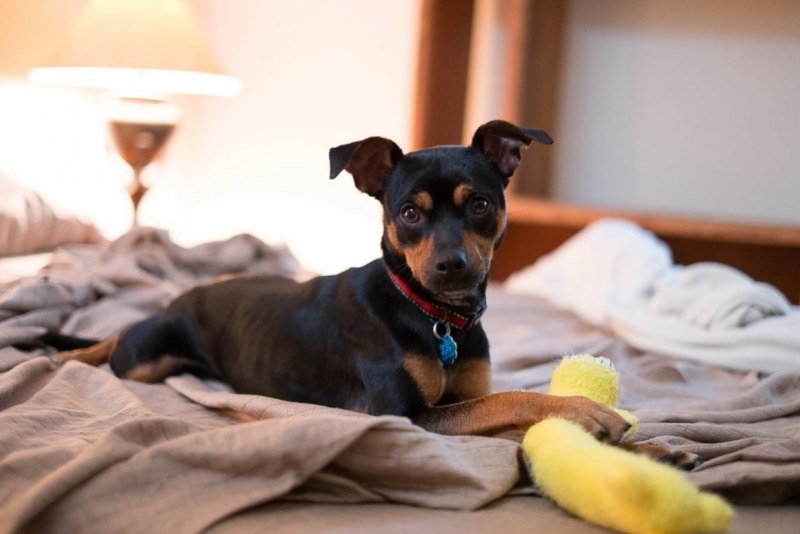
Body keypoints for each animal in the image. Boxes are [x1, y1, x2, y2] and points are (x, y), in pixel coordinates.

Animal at [56, 120, 698, 467]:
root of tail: (177, 300)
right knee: (112, 345)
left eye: (480, 204)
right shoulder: (406, 417)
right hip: (145, 358)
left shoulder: (455, 404)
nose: (450, 265)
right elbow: (514, 401)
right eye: (408, 213)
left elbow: (511, 417)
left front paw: (651, 450)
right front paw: (584, 410)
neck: (437, 317)